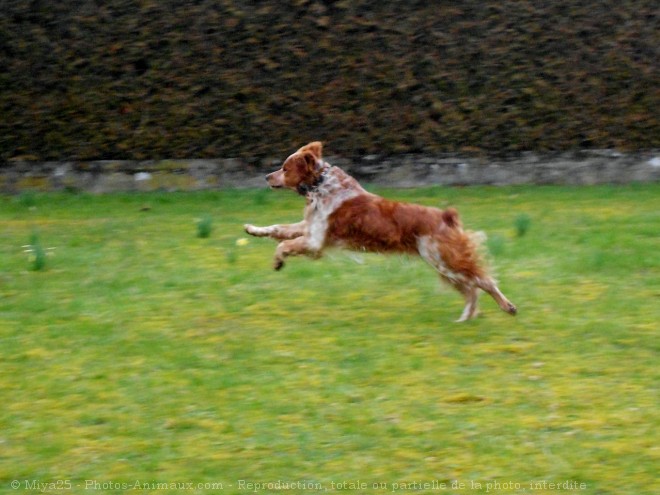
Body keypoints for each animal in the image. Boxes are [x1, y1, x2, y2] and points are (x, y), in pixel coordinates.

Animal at [245, 142, 520, 322]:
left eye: (285, 168)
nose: (266, 176)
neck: (321, 185)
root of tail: (446, 216)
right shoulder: (309, 227)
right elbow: (278, 229)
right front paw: (252, 229)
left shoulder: (315, 241)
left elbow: (283, 244)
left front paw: (278, 261)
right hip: (443, 266)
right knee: (472, 289)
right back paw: (467, 317)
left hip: (445, 261)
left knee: (483, 281)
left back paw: (506, 307)